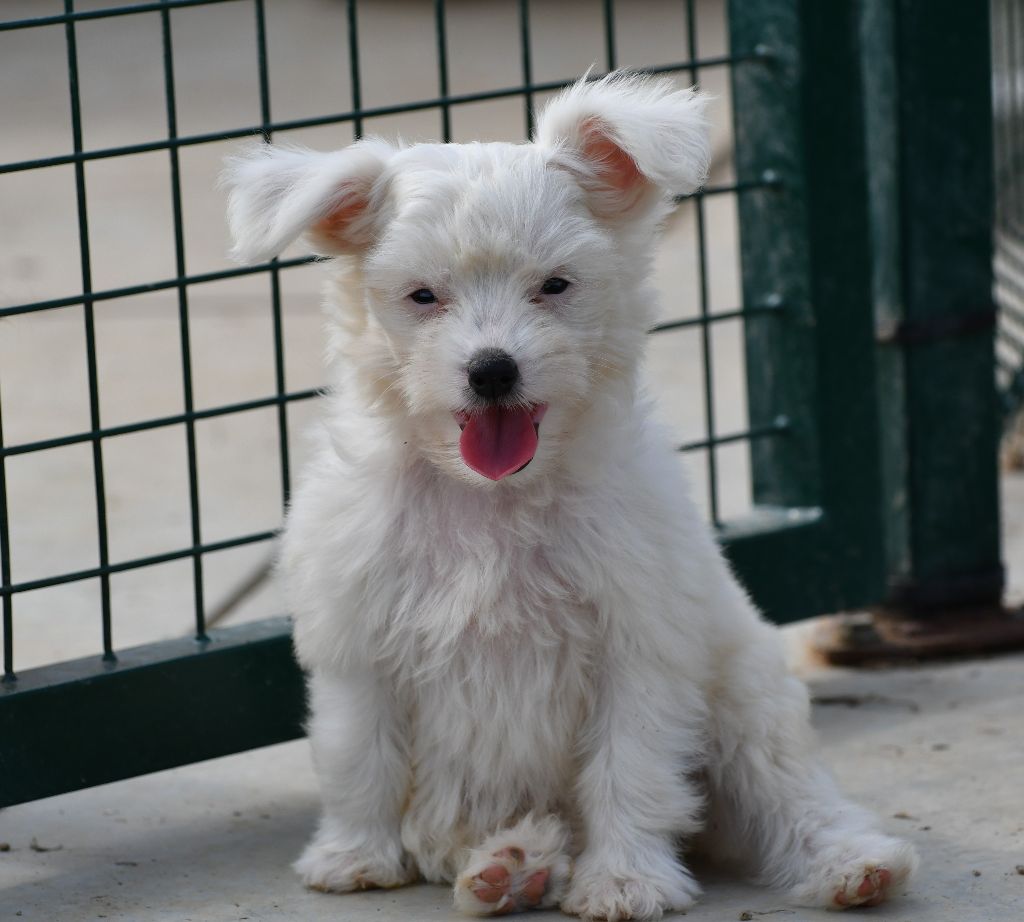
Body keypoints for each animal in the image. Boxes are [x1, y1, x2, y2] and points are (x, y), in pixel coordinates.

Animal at [223, 72, 918, 920]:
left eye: (554, 286)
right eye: (423, 296)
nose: (492, 369)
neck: (492, 496)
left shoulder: (638, 648)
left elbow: (631, 772)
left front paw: (626, 879)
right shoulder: (361, 644)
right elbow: (361, 757)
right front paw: (354, 855)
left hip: (747, 702)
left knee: (789, 799)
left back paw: (852, 863)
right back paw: (511, 864)